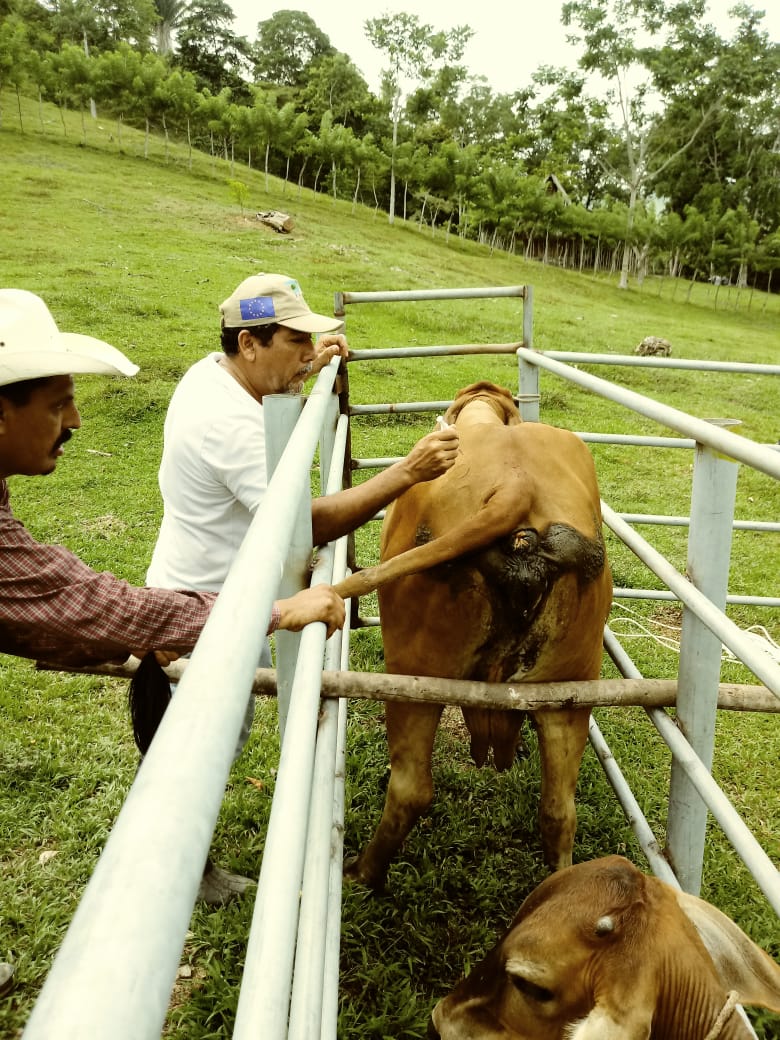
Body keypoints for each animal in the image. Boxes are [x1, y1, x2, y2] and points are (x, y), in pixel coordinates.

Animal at [339, 386, 615, 890]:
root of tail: (515, 487)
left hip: (413, 678)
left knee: (411, 789)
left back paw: (363, 872)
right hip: (570, 689)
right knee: (559, 811)